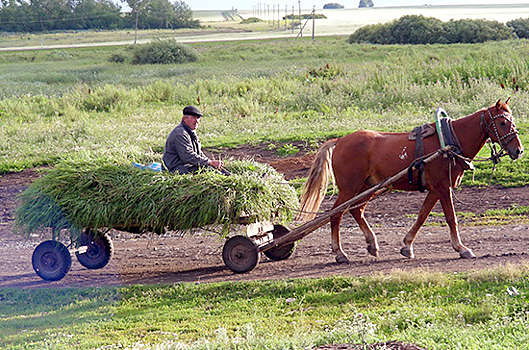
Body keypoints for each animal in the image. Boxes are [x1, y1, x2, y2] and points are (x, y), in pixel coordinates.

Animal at [296, 98, 524, 262]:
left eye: (512, 121)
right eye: (502, 122)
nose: (519, 150)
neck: (449, 141)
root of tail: (340, 140)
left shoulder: (435, 189)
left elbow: (422, 216)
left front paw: (407, 245)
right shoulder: (443, 187)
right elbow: (451, 218)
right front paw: (462, 248)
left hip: (367, 186)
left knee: (356, 211)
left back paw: (371, 244)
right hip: (349, 188)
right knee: (336, 214)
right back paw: (339, 253)